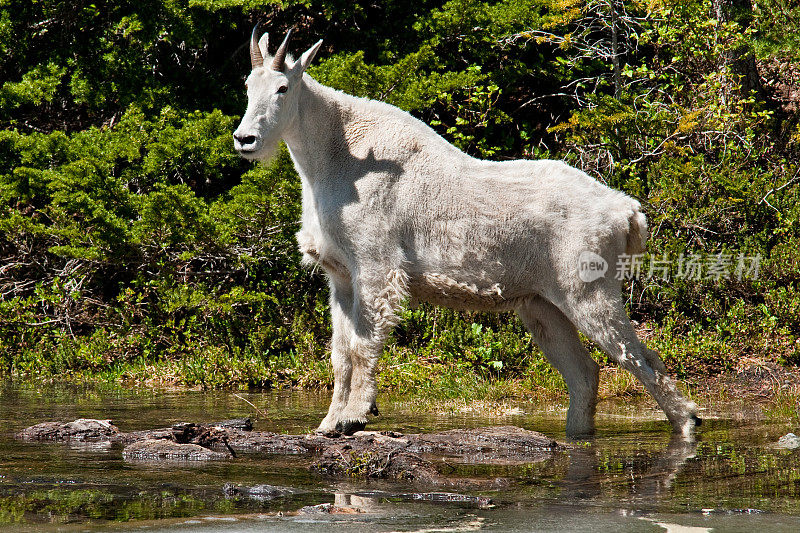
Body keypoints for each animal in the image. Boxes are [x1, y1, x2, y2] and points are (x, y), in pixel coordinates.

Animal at [233, 26, 700, 436]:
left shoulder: (376, 265)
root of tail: (628, 213)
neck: (332, 160)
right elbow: (340, 353)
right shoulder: (340, 275)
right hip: (540, 304)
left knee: (642, 360)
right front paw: (328, 423)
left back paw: (689, 423)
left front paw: (354, 417)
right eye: (247, 86)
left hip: (590, 289)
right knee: (585, 373)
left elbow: (364, 344)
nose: (245, 139)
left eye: (283, 88)